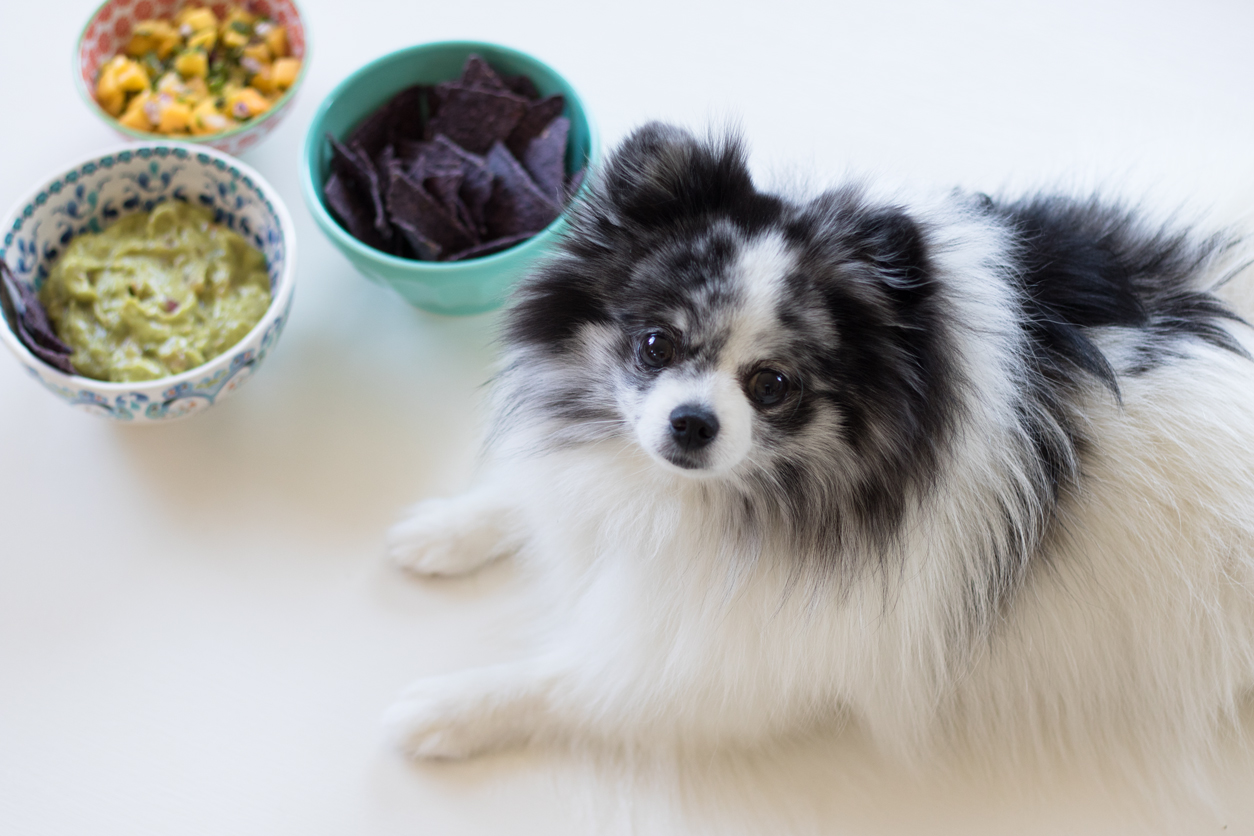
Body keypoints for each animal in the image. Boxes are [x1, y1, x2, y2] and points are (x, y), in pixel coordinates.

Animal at [378, 120, 1254, 777]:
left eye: (772, 385)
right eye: (657, 344)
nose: (690, 423)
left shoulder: (734, 660)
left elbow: (566, 681)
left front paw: (447, 709)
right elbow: (530, 496)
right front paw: (444, 531)